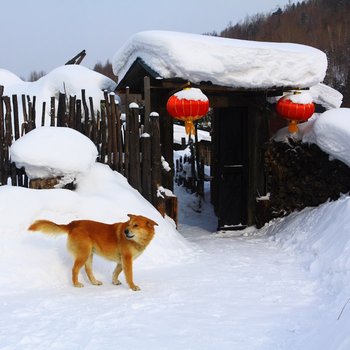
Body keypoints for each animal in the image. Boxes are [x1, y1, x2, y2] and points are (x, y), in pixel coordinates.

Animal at [28, 215, 158, 292]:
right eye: (129, 224)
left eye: (136, 225)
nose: (125, 231)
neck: (136, 241)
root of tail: (73, 223)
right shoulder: (127, 259)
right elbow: (129, 275)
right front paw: (133, 286)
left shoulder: (121, 261)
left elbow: (116, 272)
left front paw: (114, 281)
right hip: (84, 254)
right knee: (75, 269)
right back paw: (76, 284)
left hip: (89, 254)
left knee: (88, 270)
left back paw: (94, 282)